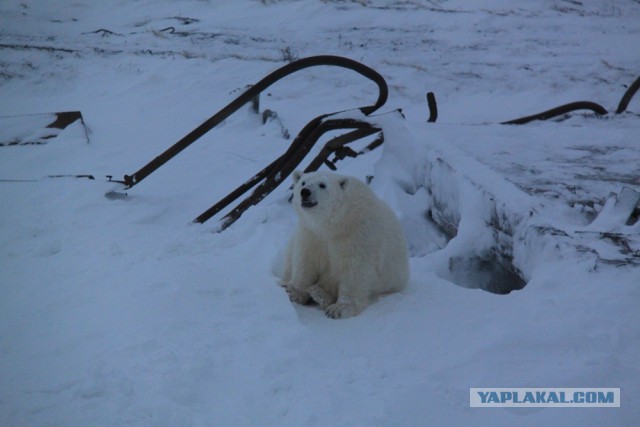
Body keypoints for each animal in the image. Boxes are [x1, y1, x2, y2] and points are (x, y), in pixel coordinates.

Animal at [282, 170, 410, 318]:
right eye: (303, 182)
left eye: (322, 185)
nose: (305, 192)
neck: (335, 223)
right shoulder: (311, 233)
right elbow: (305, 261)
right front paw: (293, 292)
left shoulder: (357, 233)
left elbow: (354, 269)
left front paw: (339, 309)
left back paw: (320, 293)